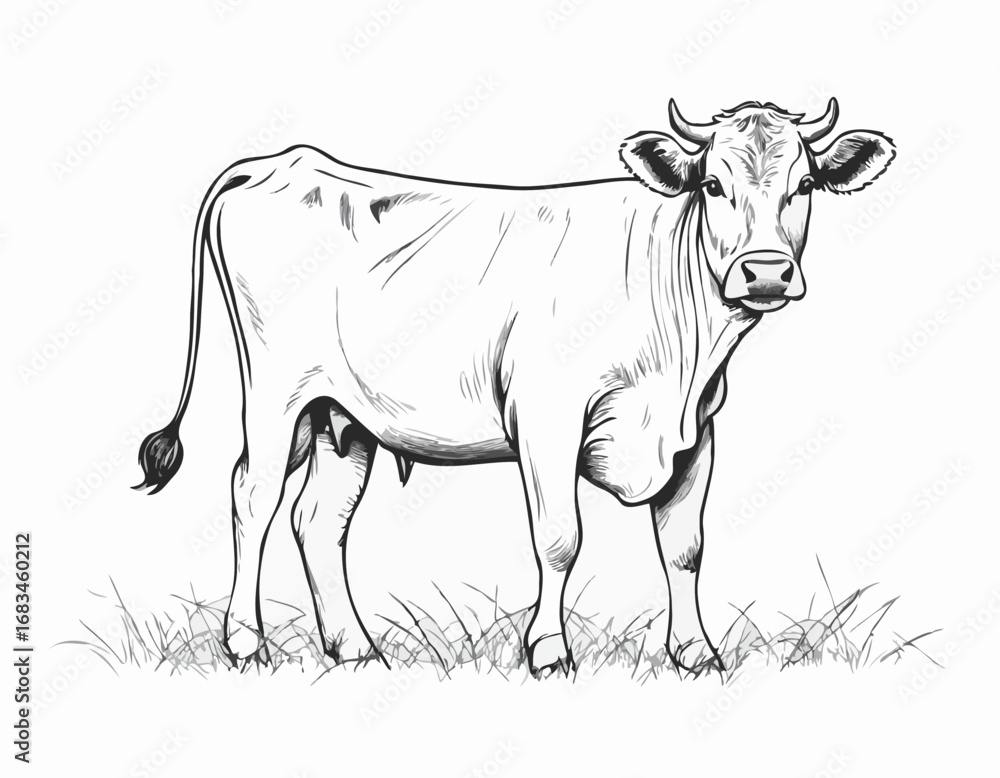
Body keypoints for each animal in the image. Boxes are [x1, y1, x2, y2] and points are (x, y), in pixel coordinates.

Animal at [135, 98, 895, 677]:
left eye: (804, 185)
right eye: (712, 185)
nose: (764, 272)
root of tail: (285, 160)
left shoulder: (696, 430)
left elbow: (684, 546)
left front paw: (695, 653)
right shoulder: (547, 416)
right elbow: (560, 538)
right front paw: (549, 652)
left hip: (340, 417)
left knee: (318, 520)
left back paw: (354, 649)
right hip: (276, 394)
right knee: (253, 498)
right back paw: (245, 643)